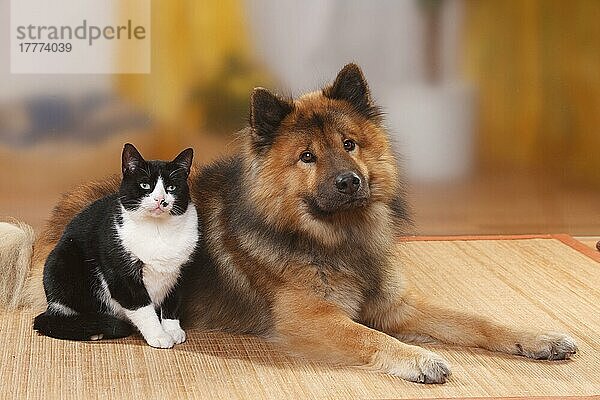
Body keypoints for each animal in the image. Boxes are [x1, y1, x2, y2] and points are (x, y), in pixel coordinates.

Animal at [34, 143, 199, 346]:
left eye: (171, 187)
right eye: (145, 185)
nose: (161, 200)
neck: (158, 230)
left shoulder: (181, 271)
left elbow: (173, 301)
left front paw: (173, 330)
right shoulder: (121, 274)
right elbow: (142, 307)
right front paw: (159, 336)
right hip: (61, 262)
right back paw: (92, 329)